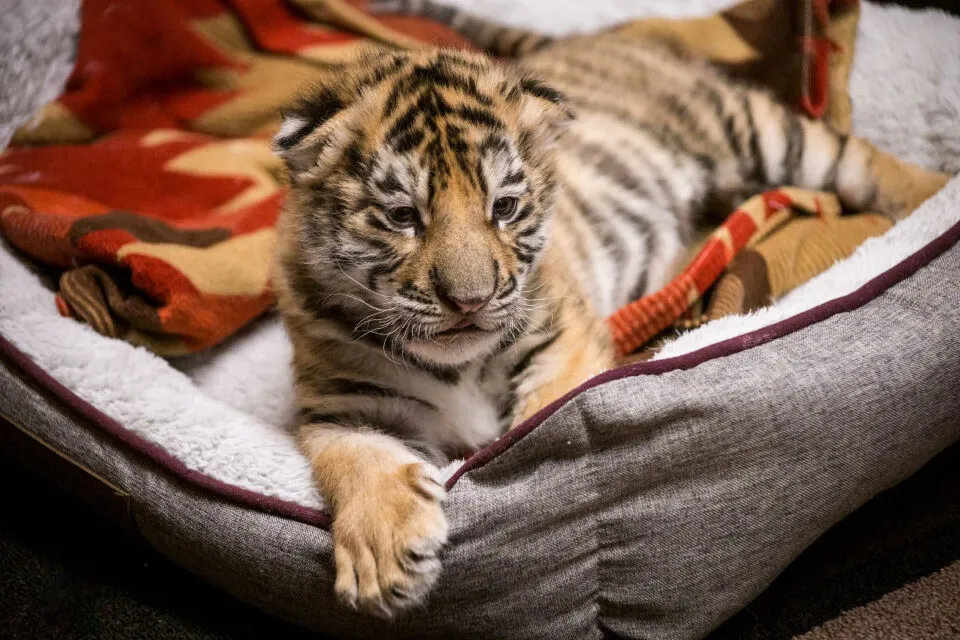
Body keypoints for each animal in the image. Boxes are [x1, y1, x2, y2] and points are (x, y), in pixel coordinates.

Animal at [270, 0, 949, 618]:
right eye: (402, 216)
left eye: (504, 208)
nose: (471, 301)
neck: (455, 363)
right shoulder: (338, 405)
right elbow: (355, 458)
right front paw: (385, 561)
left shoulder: (562, 334)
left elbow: (537, 420)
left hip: (750, 128)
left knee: (860, 158)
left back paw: (938, 199)